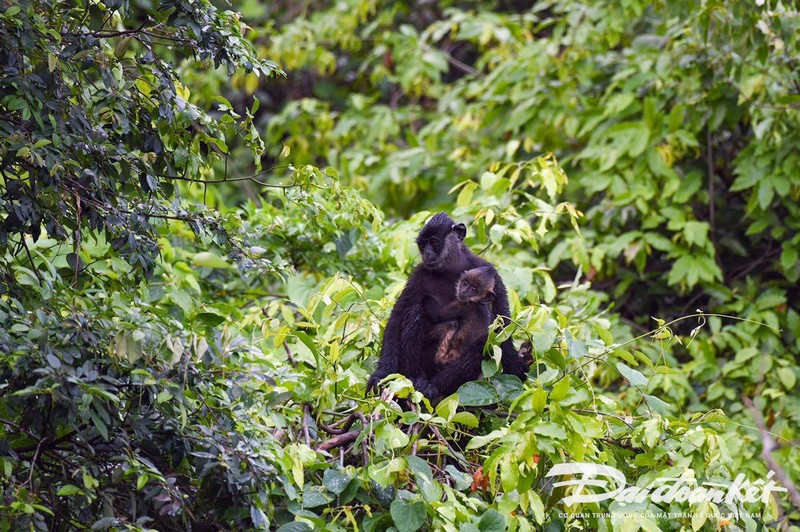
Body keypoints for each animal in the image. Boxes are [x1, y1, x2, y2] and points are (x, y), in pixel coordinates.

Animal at [368, 212, 532, 400]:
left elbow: (502, 325)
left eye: (434, 242)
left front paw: (517, 367)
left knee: (483, 345)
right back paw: (415, 379)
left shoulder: (493, 277)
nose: (426, 253)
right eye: (422, 244)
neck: (450, 270)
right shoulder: (419, 274)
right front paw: (381, 374)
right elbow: (398, 316)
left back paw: (431, 387)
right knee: (414, 310)